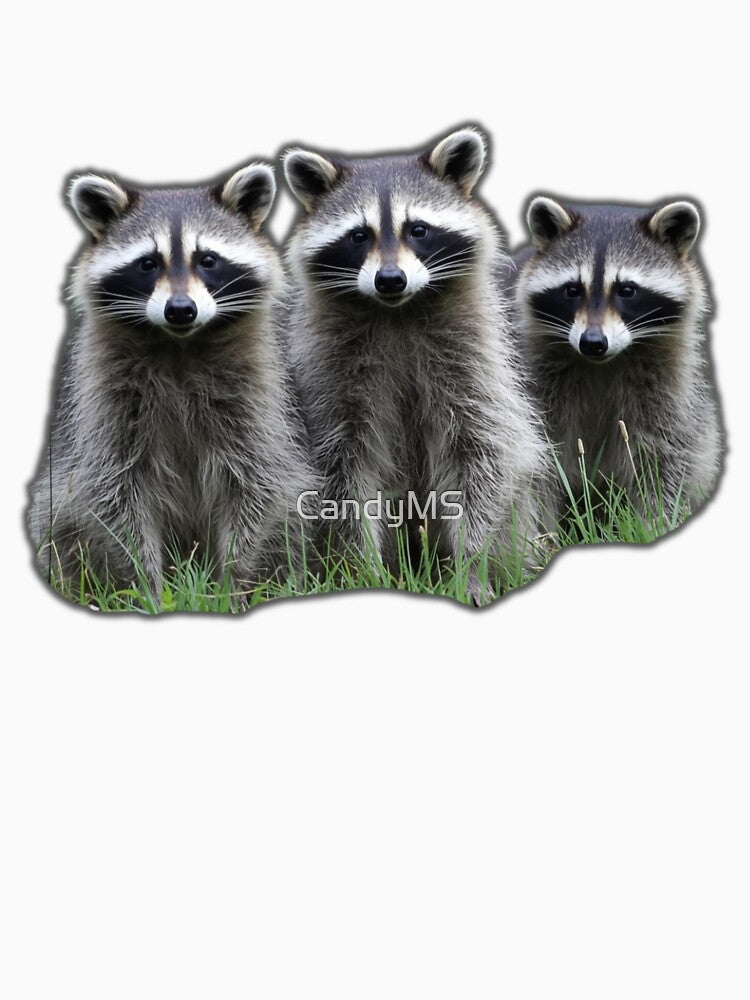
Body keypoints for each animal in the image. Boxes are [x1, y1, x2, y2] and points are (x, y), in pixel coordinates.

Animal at [29, 163, 314, 597]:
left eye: (208, 260)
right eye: (148, 263)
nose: (180, 309)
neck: (180, 343)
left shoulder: (262, 395)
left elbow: (260, 481)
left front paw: (235, 581)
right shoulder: (105, 399)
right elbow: (113, 491)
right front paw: (147, 584)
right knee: (58, 522)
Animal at [282, 128, 551, 602]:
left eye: (418, 230)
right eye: (359, 236)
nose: (391, 279)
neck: (396, 311)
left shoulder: (473, 360)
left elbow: (483, 453)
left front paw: (471, 564)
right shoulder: (329, 372)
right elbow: (343, 470)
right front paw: (364, 567)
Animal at [512, 196, 722, 513]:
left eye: (627, 290)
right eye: (572, 290)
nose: (593, 342)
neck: (602, 363)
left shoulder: (667, 382)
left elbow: (665, 454)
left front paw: (657, 516)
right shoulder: (536, 378)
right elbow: (537, 459)